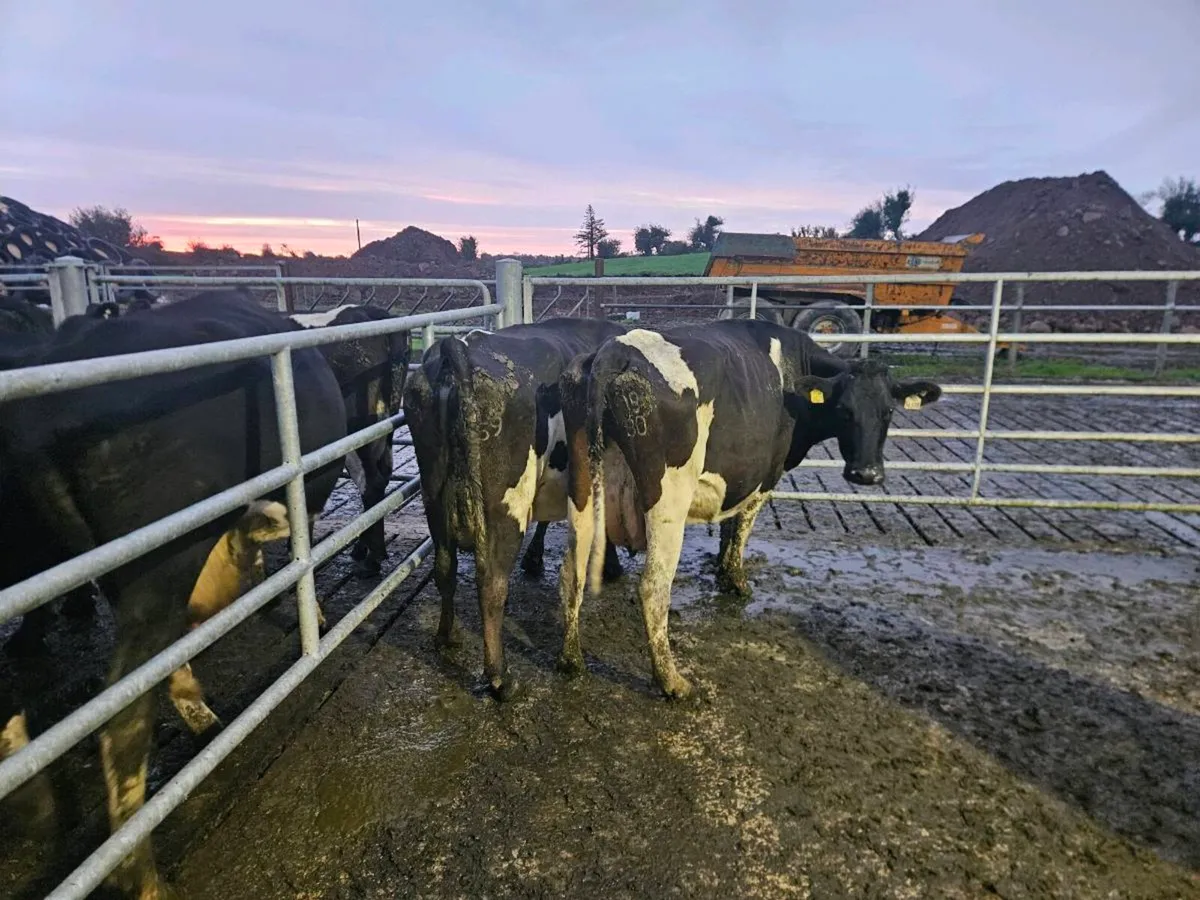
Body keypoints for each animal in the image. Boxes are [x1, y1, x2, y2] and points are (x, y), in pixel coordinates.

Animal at [402, 317, 628, 700]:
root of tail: (459, 346)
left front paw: (535, 558)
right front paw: (610, 564)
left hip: (433, 494)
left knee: (445, 567)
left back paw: (447, 637)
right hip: (506, 508)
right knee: (492, 583)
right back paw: (500, 678)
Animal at [556, 319, 942, 700]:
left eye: (887, 411)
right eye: (845, 411)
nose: (867, 474)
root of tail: (614, 350)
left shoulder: (739, 477)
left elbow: (728, 527)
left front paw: (722, 571)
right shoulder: (765, 476)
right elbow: (741, 528)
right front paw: (737, 581)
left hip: (582, 486)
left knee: (572, 572)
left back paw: (572, 660)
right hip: (668, 499)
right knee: (653, 587)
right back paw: (672, 682)